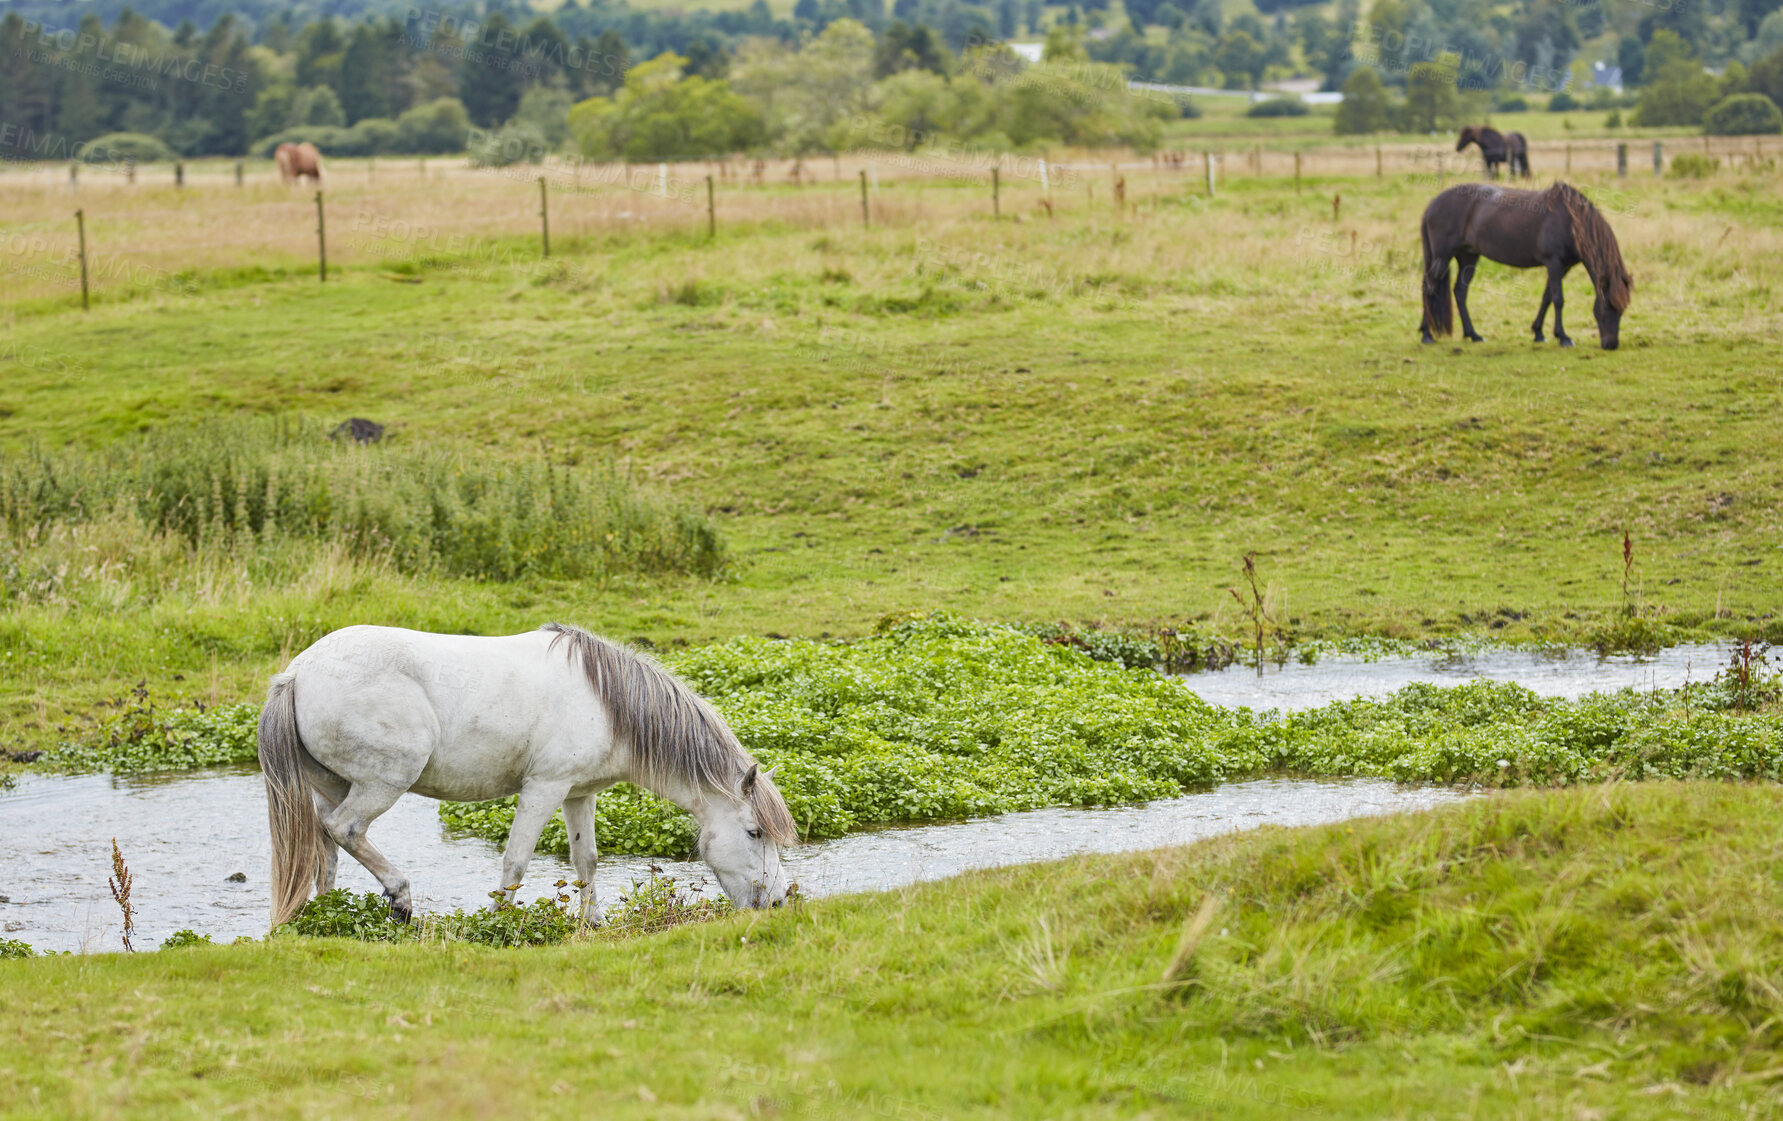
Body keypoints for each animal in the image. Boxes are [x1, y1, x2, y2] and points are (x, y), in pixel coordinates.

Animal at [260, 620, 802, 926]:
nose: (777, 902)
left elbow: (587, 861)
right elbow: (517, 861)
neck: (605, 703)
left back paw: (330, 912)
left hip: (332, 784)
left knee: (325, 846)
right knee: (345, 829)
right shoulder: (544, 788)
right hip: (382, 783)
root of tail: (298, 673)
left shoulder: (578, 794)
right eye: (754, 832)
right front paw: (498, 923)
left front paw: (593, 921)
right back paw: (401, 899)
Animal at [1419, 179, 1633, 349]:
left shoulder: (1563, 268)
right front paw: (1564, 337)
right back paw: (1427, 335)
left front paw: (1539, 333)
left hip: (1468, 257)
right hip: (1442, 257)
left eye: (1622, 310)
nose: (1611, 345)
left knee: (1460, 292)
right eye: (1606, 307)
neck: (1570, 221)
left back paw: (1473, 335)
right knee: (1429, 287)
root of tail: (1432, 205)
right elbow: (1558, 299)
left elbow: (1547, 298)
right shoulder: (1554, 264)